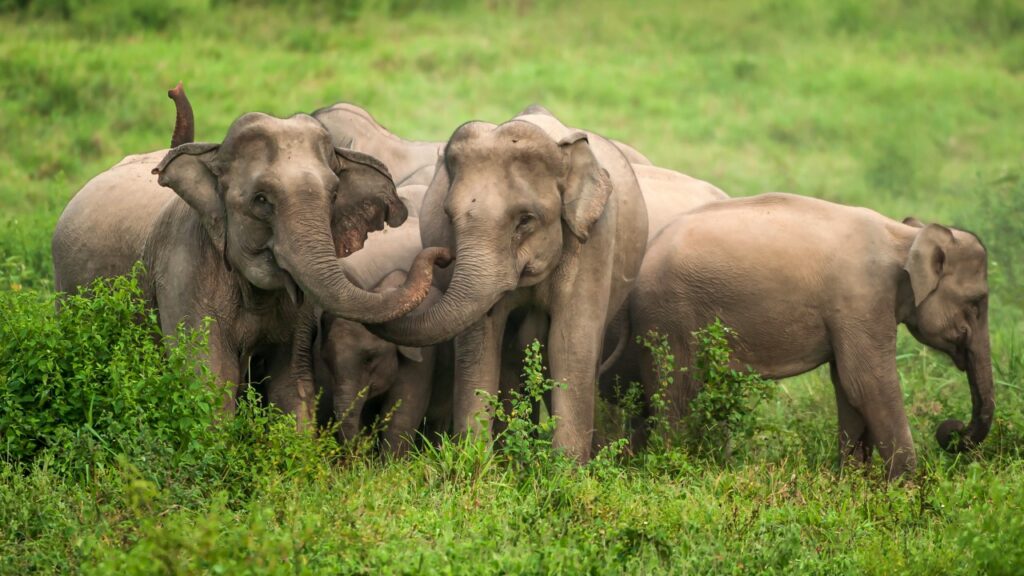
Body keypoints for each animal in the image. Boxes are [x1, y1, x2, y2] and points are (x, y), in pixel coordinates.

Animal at [372, 110, 650, 462]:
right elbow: (481, 341)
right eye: (448, 215)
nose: (442, 257)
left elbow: (570, 343)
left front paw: (565, 470)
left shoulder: (594, 241)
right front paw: (476, 464)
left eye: (526, 220)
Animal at [628, 192, 993, 479]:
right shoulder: (861, 300)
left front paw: (854, 483)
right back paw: (670, 468)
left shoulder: (852, 314)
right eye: (977, 303)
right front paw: (905, 488)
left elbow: (847, 386)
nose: (951, 429)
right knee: (678, 391)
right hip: (670, 315)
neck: (904, 237)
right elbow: (867, 383)